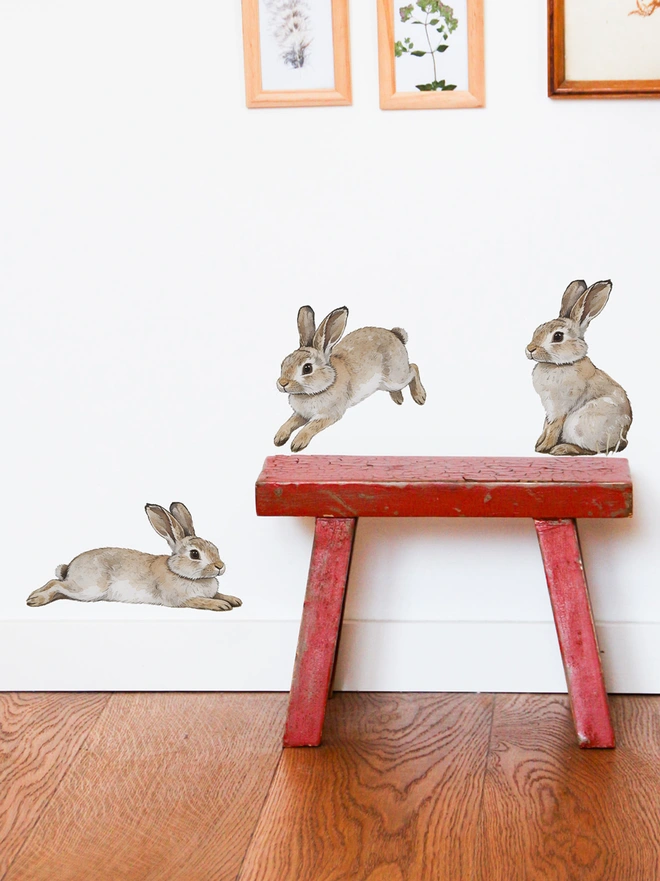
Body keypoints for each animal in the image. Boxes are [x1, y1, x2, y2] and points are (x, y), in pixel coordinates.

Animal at [26, 502, 242, 612]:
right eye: (194, 554)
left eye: (215, 547)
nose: (220, 566)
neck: (178, 571)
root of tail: (69, 568)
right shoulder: (180, 599)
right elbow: (201, 601)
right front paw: (220, 605)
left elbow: (218, 593)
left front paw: (234, 600)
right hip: (89, 589)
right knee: (55, 583)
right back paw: (35, 599)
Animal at [274, 305, 426, 451]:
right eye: (284, 363)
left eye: (307, 368)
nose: (282, 383)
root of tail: (396, 336)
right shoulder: (301, 414)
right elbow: (290, 422)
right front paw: (279, 437)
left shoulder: (329, 414)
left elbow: (311, 426)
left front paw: (298, 443)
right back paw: (398, 398)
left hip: (395, 377)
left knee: (414, 368)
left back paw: (420, 396)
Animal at [526, 279, 632, 456]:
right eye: (538, 329)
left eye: (558, 336)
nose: (530, 349)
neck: (560, 364)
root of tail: (622, 439)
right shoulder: (549, 409)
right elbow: (546, 426)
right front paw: (538, 443)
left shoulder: (561, 407)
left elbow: (553, 427)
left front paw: (543, 447)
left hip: (578, 424)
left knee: (592, 450)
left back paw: (561, 448)